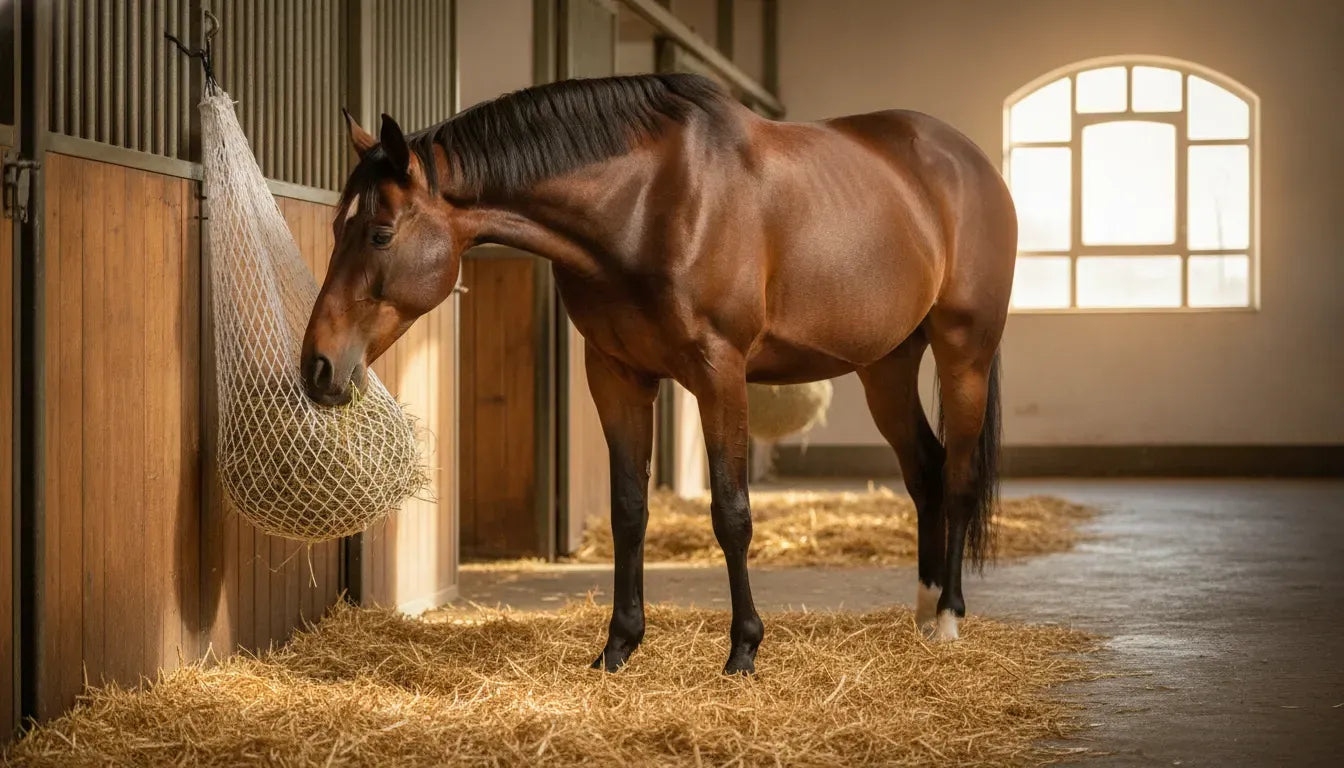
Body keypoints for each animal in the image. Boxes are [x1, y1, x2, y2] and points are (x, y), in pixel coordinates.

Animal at [301, 73, 1016, 675]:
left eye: (381, 233)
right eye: (336, 226)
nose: (318, 367)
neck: (649, 204)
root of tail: (970, 163)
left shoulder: (719, 373)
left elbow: (731, 513)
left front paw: (743, 651)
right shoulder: (616, 375)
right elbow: (628, 510)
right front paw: (618, 647)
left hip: (964, 354)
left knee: (957, 477)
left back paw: (948, 618)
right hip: (886, 366)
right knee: (924, 471)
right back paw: (921, 613)